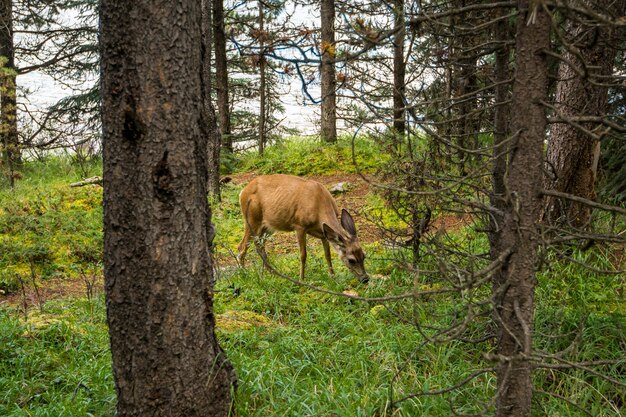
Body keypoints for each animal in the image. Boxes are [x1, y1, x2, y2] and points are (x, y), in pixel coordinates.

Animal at [236, 172, 368, 282]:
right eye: (351, 260)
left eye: (364, 255)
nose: (365, 279)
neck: (319, 204)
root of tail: (242, 192)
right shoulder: (299, 225)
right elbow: (303, 255)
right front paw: (302, 279)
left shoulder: (323, 233)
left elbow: (328, 255)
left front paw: (333, 276)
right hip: (251, 219)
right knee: (242, 246)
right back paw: (244, 274)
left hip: (268, 226)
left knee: (259, 245)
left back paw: (272, 273)